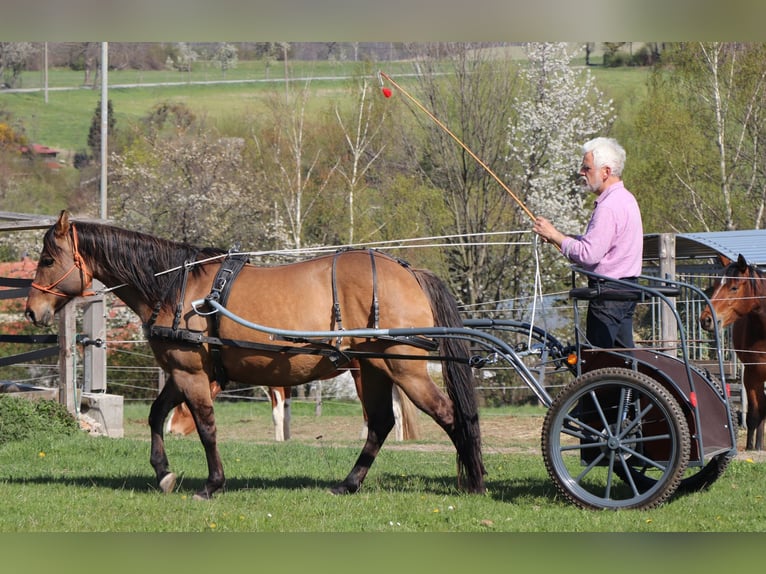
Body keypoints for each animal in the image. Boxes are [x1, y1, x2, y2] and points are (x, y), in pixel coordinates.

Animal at [25, 212, 486, 500]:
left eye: (47, 258)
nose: (31, 310)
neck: (176, 287)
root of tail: (409, 272)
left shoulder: (191, 373)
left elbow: (206, 427)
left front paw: (212, 484)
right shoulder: (182, 372)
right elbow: (157, 417)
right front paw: (164, 473)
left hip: (404, 368)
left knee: (451, 415)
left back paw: (476, 480)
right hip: (372, 369)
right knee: (381, 424)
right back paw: (348, 483)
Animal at [704, 254, 766, 452]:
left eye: (734, 287)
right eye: (716, 285)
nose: (706, 319)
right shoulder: (752, 374)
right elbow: (753, 415)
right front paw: (751, 448)